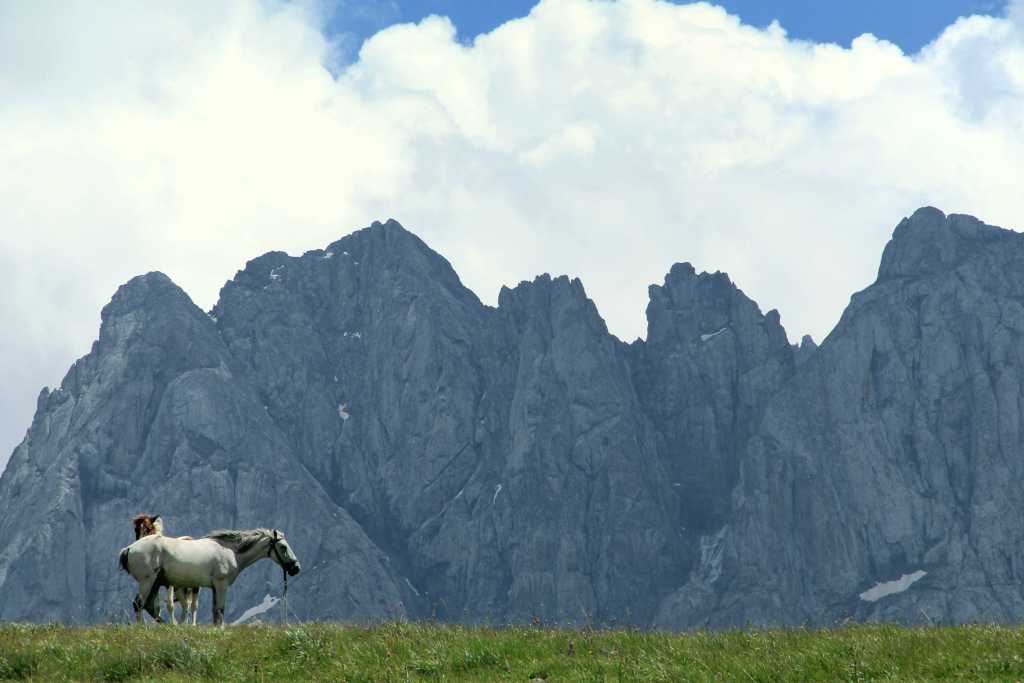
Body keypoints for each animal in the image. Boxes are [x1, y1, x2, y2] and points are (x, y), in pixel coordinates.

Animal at [119, 528, 300, 626]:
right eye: (283, 547)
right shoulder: (221, 585)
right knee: (138, 604)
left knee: (150, 606)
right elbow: (220, 610)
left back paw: (171, 626)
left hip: (156, 583)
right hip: (147, 581)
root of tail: (129, 548)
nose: (296, 568)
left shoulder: (214, 588)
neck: (231, 551)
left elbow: (215, 612)